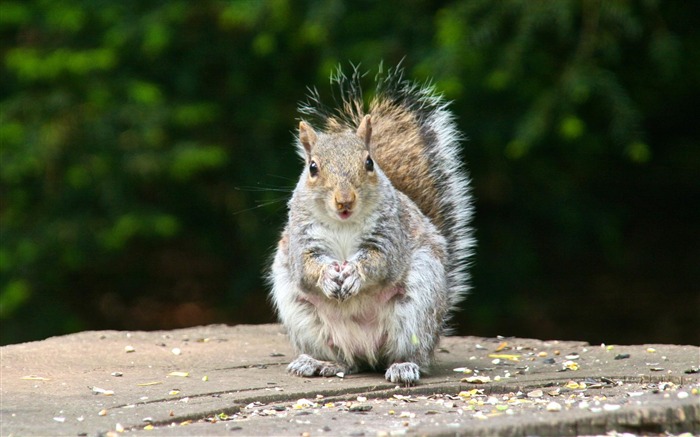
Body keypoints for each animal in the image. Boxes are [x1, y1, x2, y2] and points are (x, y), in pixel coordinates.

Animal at [268, 64, 476, 384]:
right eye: (312, 168)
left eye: (369, 163)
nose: (345, 201)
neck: (344, 224)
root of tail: (366, 350)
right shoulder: (302, 240)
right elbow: (306, 267)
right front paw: (328, 275)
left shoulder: (391, 234)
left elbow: (381, 262)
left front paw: (354, 273)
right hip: (303, 316)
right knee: (347, 362)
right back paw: (319, 363)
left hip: (417, 308)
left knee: (408, 353)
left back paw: (404, 366)